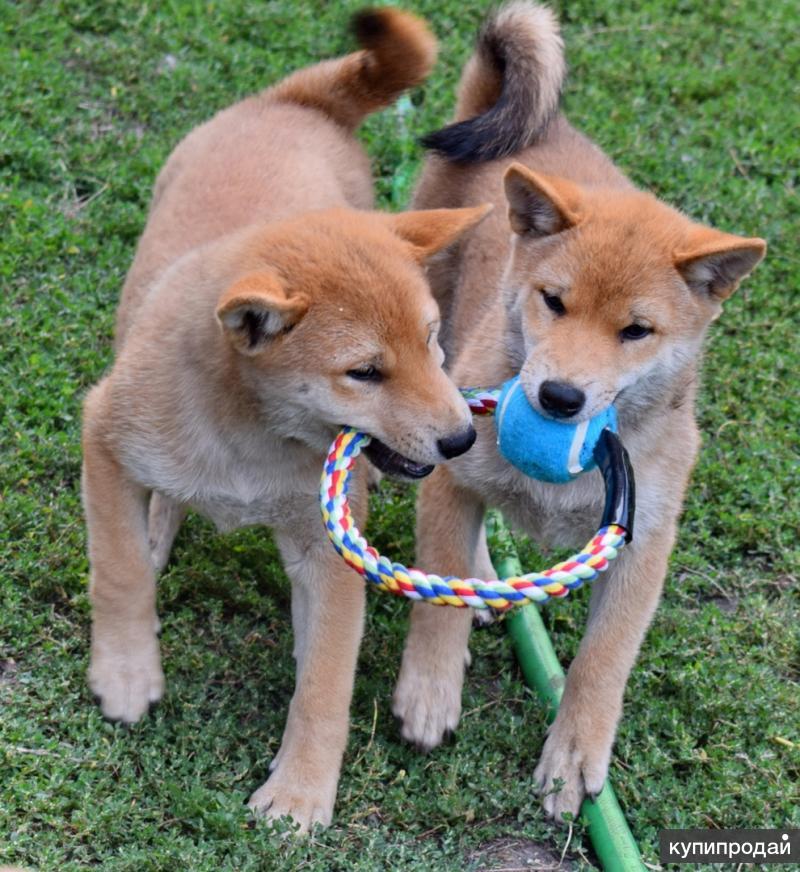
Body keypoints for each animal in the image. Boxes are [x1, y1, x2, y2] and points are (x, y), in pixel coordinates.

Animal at [83, 10, 494, 836]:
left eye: (433, 339)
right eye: (364, 372)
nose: (461, 438)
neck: (248, 438)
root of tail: (300, 105)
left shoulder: (328, 551)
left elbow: (326, 685)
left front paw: (301, 791)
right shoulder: (105, 431)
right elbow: (117, 567)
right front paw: (125, 670)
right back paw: (159, 527)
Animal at [390, 0, 764, 820]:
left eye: (636, 331)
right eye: (554, 302)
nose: (559, 397)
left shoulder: (641, 544)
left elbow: (603, 661)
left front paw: (575, 756)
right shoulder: (452, 477)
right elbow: (435, 592)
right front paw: (430, 690)